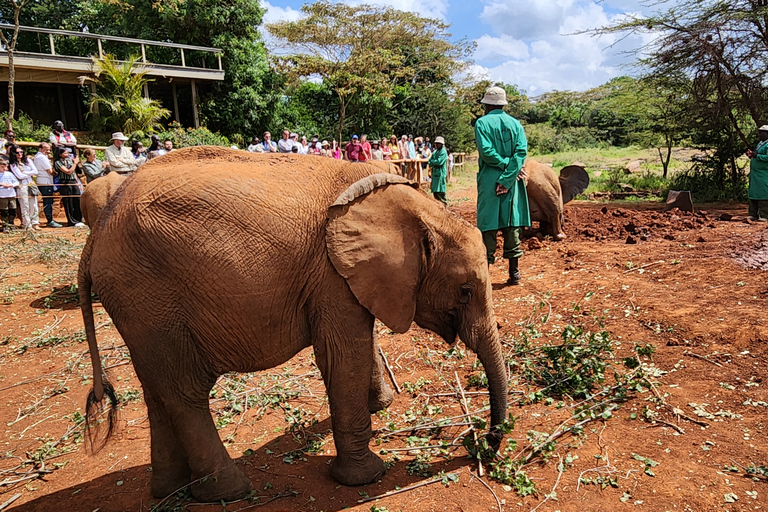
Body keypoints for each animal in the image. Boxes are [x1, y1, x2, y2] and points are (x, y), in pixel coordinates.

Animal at [79, 146, 510, 502]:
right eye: (466, 291)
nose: (483, 444)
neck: (411, 204)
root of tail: (95, 235)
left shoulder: (347, 278)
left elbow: (359, 340)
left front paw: (381, 405)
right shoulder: (330, 275)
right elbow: (342, 356)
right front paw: (366, 477)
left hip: (139, 307)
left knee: (157, 391)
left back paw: (171, 490)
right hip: (148, 294)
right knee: (185, 392)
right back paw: (230, 492)